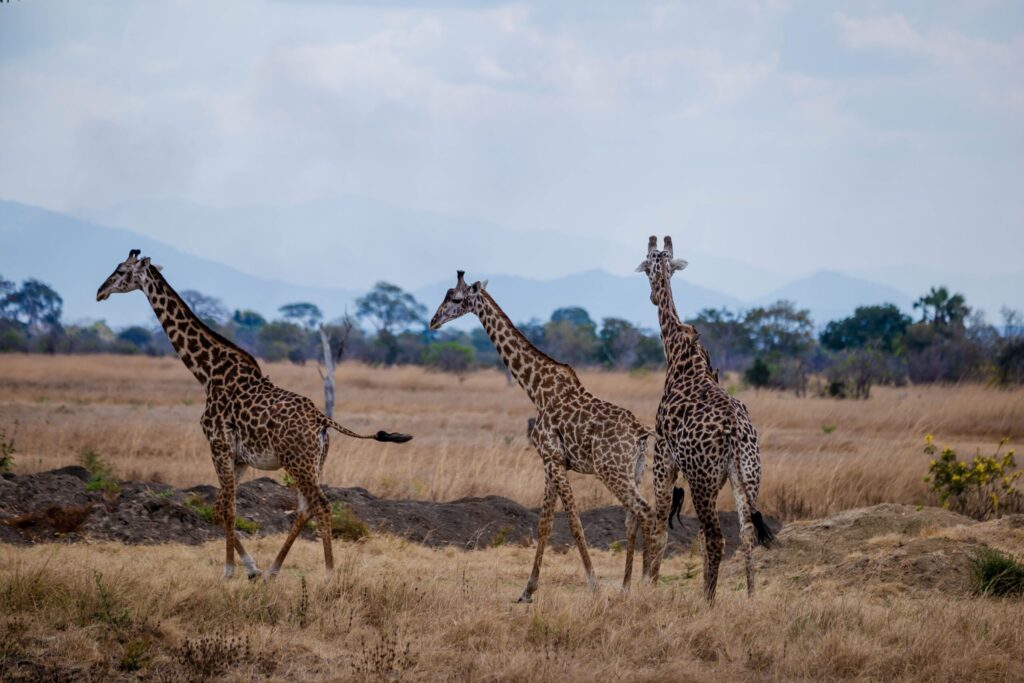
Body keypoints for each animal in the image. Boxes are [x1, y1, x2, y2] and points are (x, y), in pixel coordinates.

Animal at [96, 250, 412, 580]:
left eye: (121, 271)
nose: (100, 292)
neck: (207, 373)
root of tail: (322, 420)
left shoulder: (218, 446)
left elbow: (229, 508)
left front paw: (229, 572)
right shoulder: (239, 458)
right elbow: (220, 507)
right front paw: (251, 569)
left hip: (298, 463)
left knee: (322, 505)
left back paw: (328, 575)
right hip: (314, 462)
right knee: (306, 508)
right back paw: (273, 570)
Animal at [430, 271, 656, 602]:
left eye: (456, 298)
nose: (433, 321)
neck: (535, 388)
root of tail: (641, 433)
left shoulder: (552, 458)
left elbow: (574, 523)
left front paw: (594, 586)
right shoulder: (551, 463)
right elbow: (544, 524)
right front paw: (527, 590)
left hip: (611, 471)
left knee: (645, 511)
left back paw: (648, 583)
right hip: (634, 471)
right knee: (632, 518)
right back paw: (628, 587)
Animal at [636, 236, 775, 602]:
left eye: (647, 265)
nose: (651, 296)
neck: (679, 358)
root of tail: (735, 432)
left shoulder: (664, 457)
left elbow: (659, 526)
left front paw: (649, 587)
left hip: (702, 480)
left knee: (715, 537)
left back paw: (708, 603)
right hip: (746, 476)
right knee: (745, 532)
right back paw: (750, 598)